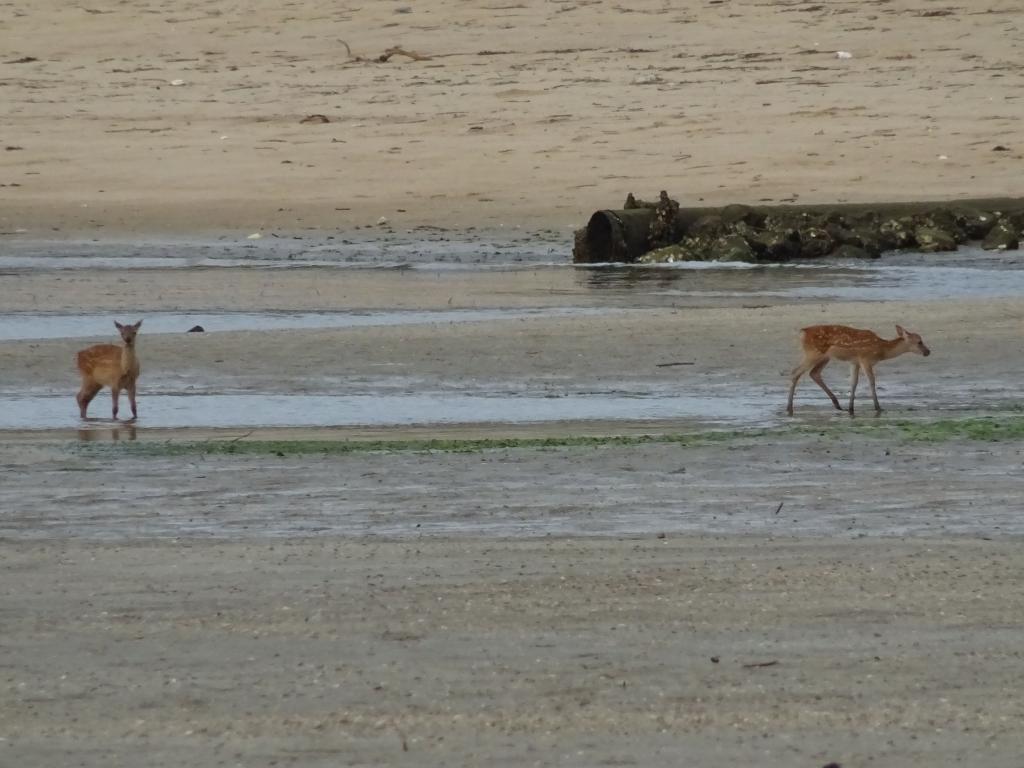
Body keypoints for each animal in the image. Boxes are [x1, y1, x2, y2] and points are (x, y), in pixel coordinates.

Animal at [786, 327, 933, 417]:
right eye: (919, 342)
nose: (928, 352)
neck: (881, 350)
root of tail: (803, 332)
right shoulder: (865, 358)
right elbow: (871, 382)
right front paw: (878, 407)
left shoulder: (854, 361)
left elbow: (853, 383)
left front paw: (851, 408)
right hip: (813, 353)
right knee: (795, 372)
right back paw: (789, 408)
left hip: (824, 357)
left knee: (813, 373)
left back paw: (837, 404)